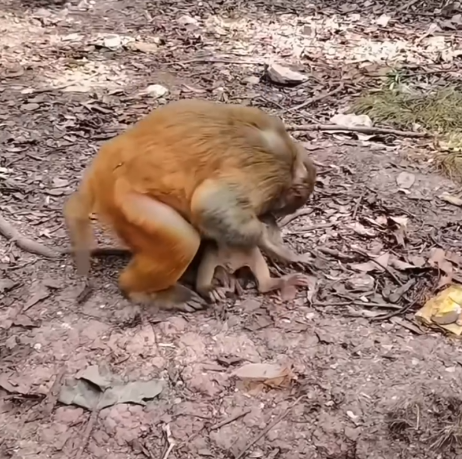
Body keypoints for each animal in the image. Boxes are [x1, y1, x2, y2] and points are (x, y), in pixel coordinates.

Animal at [64, 98, 311, 313]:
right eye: (278, 207)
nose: (270, 217)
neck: (292, 161)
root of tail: (104, 164)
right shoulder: (268, 175)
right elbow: (208, 205)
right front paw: (272, 244)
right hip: (126, 201)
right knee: (185, 240)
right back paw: (143, 290)